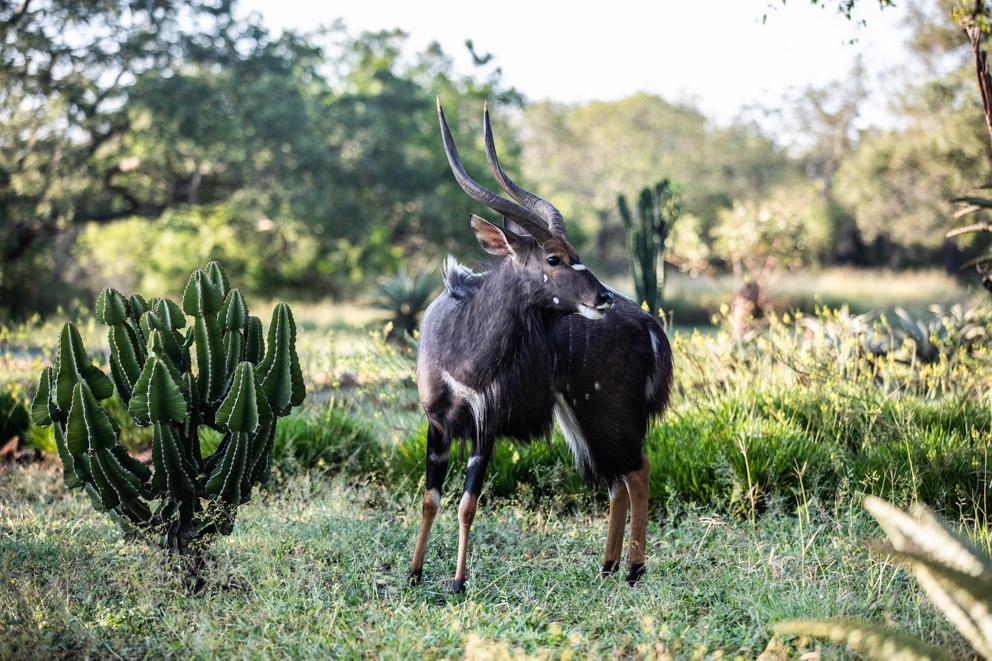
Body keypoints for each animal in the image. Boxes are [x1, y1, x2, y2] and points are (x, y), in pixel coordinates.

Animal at [410, 99, 676, 592]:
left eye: (575, 254)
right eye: (554, 258)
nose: (604, 297)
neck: (462, 348)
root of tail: (650, 325)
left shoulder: (486, 426)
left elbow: (467, 503)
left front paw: (458, 583)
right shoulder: (437, 424)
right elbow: (430, 498)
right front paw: (415, 574)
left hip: (603, 409)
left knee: (637, 468)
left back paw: (633, 569)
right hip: (580, 414)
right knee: (617, 479)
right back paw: (607, 566)